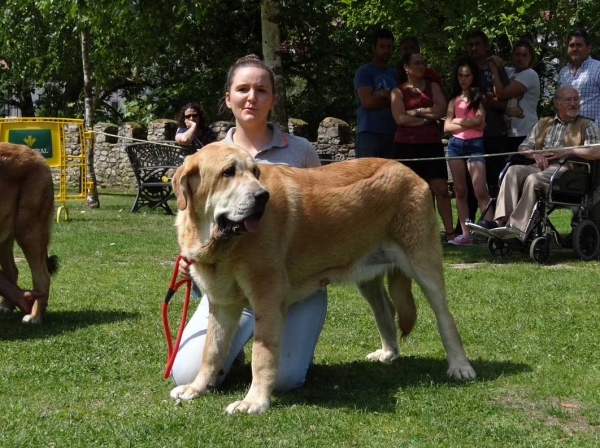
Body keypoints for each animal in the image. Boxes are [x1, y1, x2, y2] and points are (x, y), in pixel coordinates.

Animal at [0, 143, 57, 322]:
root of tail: (35, 153)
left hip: (29, 231)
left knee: (42, 277)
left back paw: (34, 316)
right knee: (11, 271)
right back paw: (6, 306)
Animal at [169, 141, 474, 412]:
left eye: (255, 172)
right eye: (228, 172)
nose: (262, 197)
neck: (218, 242)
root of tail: (409, 170)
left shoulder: (267, 298)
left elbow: (262, 355)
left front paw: (254, 402)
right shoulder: (223, 304)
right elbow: (211, 351)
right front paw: (197, 388)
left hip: (423, 265)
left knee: (444, 317)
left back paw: (460, 366)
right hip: (368, 278)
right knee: (385, 309)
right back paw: (388, 353)